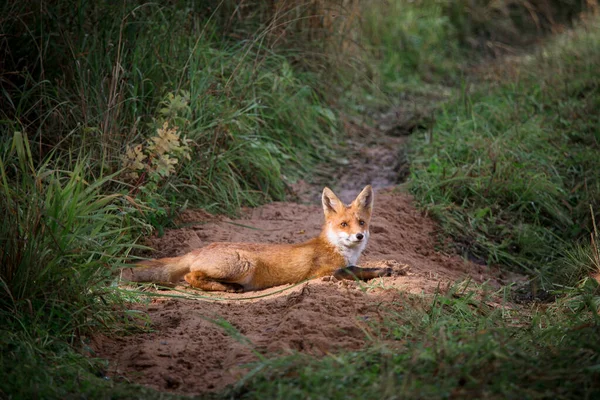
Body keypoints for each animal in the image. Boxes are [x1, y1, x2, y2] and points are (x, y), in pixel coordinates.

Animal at [124, 186, 392, 292]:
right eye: (344, 224)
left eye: (362, 223)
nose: (359, 235)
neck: (338, 249)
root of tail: (202, 247)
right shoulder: (325, 273)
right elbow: (356, 270)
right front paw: (382, 270)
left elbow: (357, 268)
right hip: (245, 264)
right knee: (191, 277)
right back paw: (227, 288)